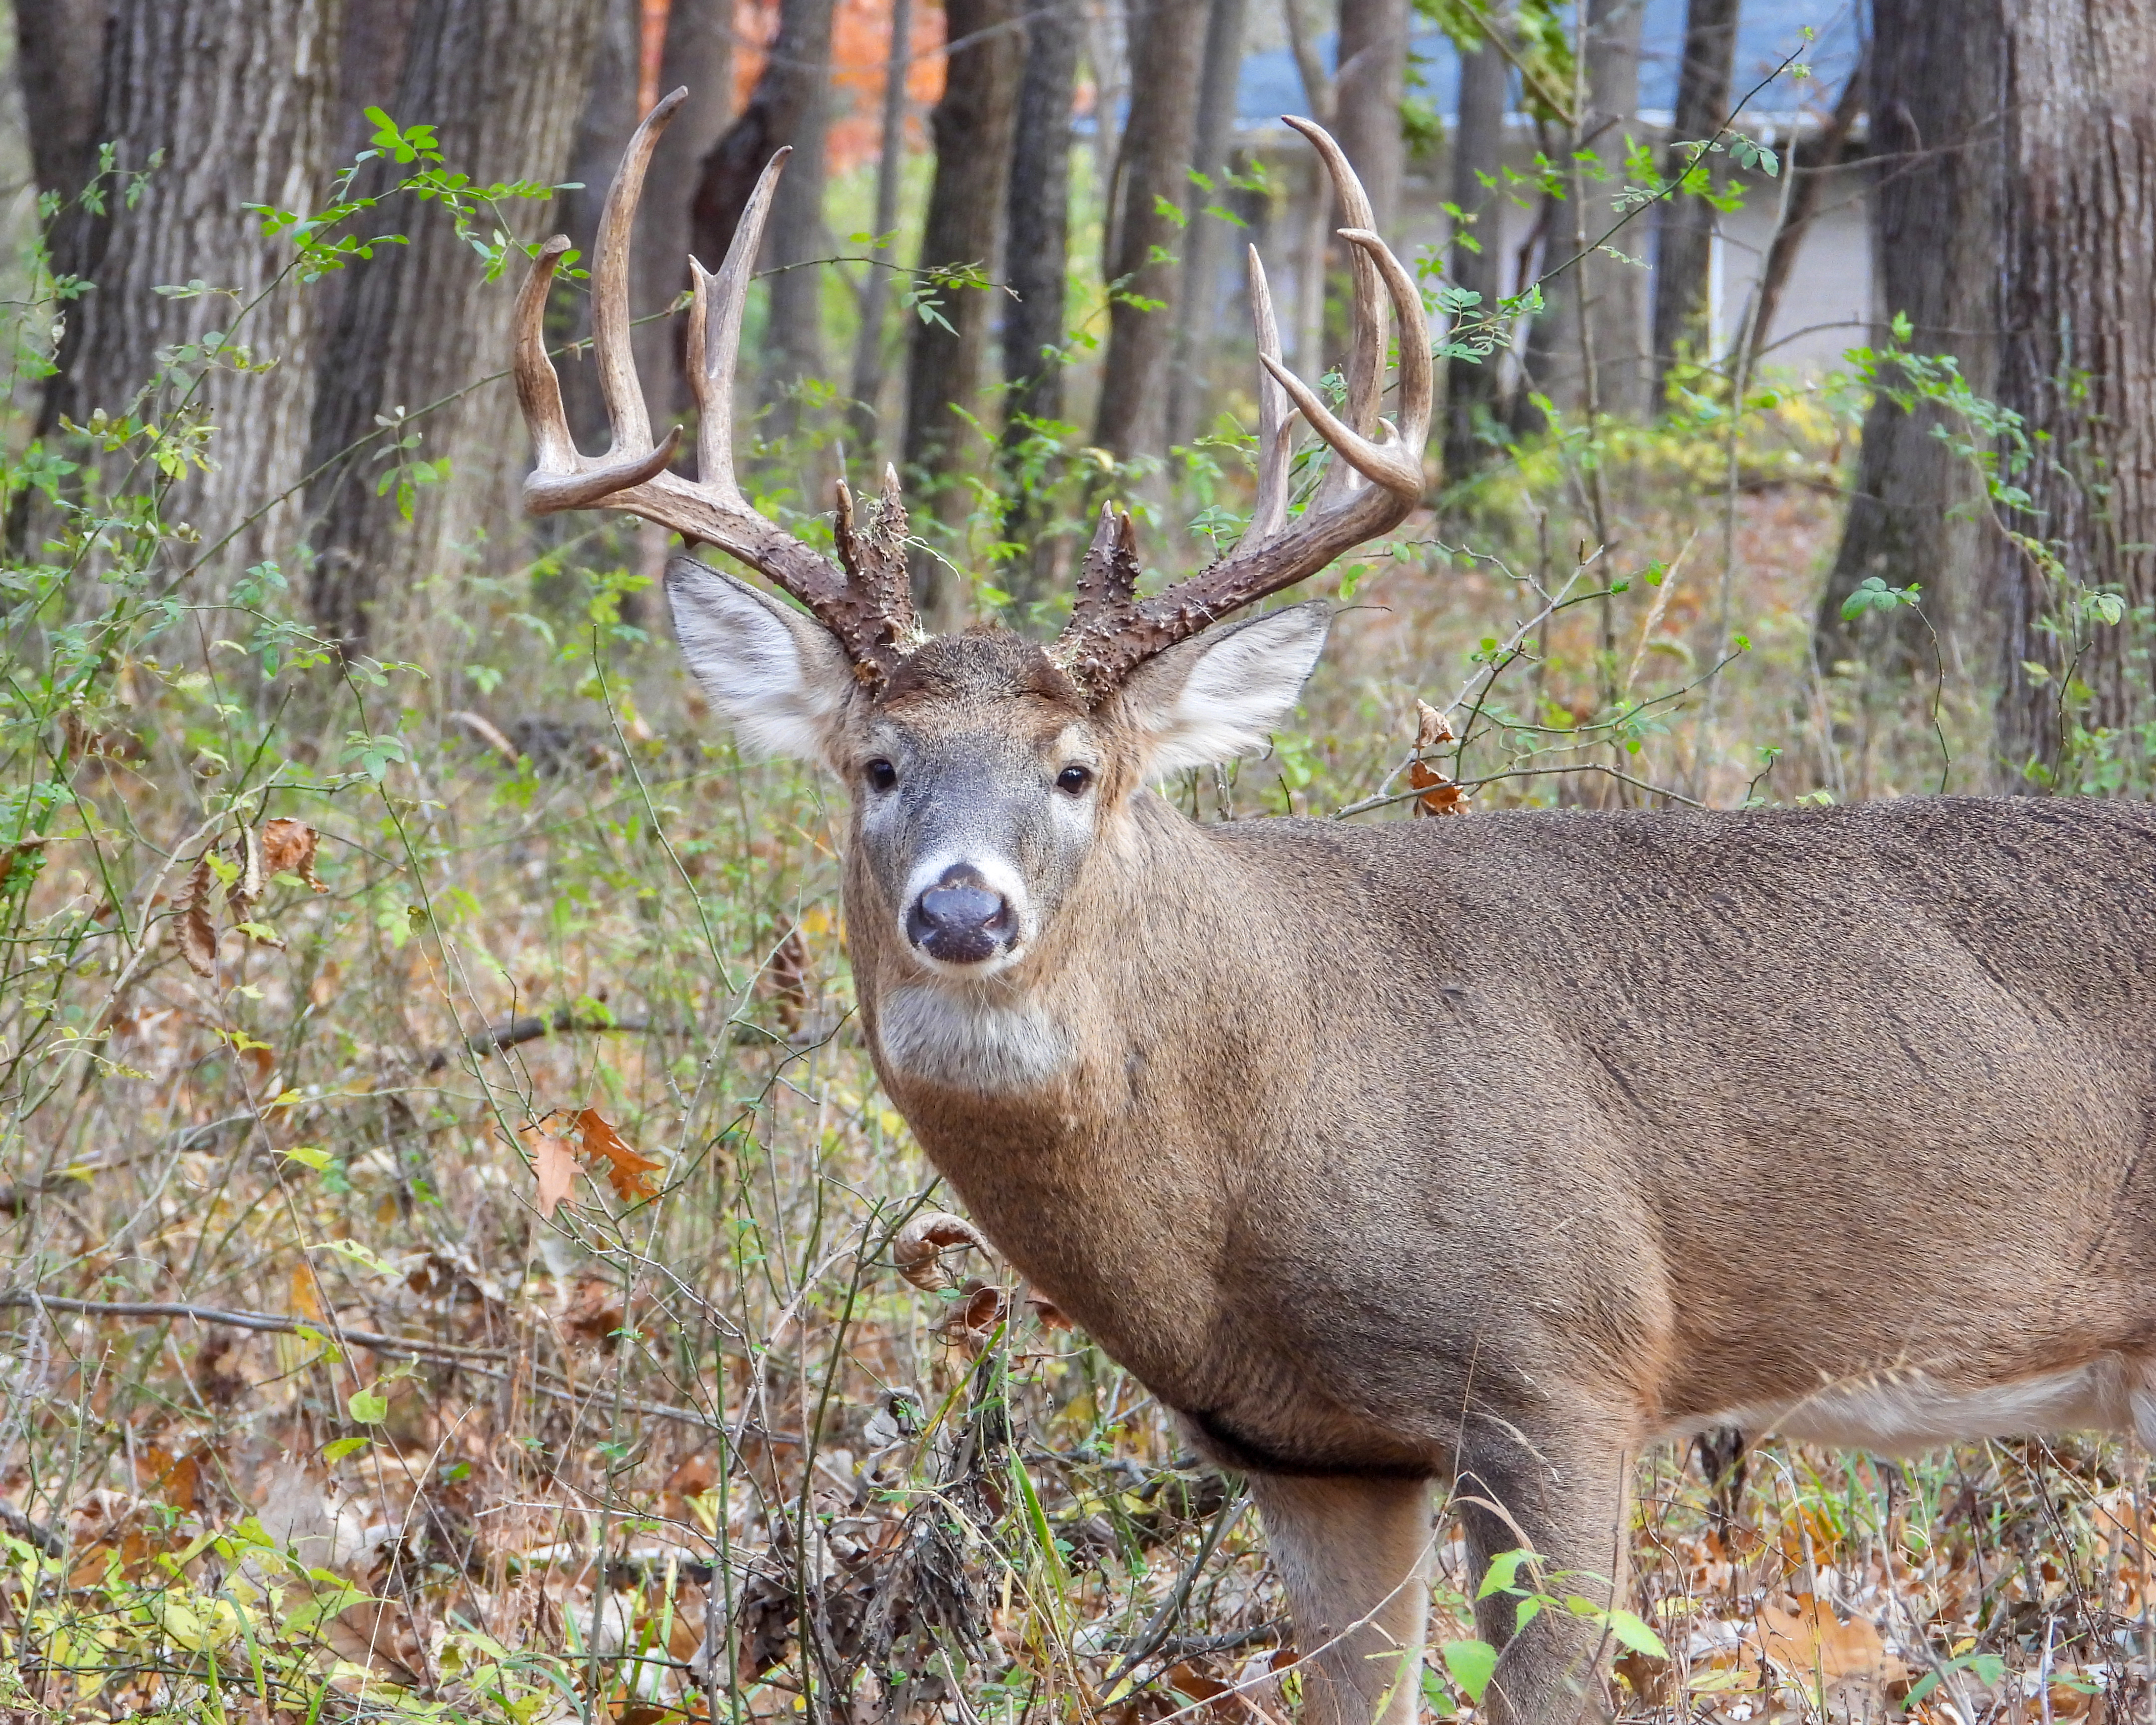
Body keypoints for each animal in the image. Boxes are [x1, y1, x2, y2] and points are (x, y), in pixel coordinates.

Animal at [513, 91, 2156, 1725]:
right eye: (877, 764)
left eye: (1076, 771)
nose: (964, 914)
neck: (1270, 1118)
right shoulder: (1312, 1451)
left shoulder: (1567, 1364)